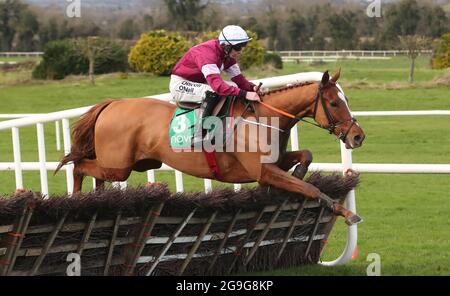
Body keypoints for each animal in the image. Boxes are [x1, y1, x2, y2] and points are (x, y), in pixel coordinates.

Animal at [56, 71, 366, 224]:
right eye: (335, 103)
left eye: (347, 99)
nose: (358, 137)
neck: (264, 118)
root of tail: (111, 103)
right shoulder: (264, 171)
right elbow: (310, 188)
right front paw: (346, 213)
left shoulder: (275, 163)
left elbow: (306, 157)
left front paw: (300, 171)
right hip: (118, 166)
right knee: (78, 166)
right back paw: (77, 201)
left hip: (131, 164)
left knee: (93, 174)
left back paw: (97, 202)